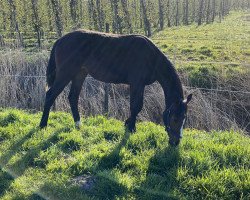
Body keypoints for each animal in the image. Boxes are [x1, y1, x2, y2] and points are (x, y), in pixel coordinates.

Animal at [39, 30, 192, 147]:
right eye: (175, 118)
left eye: (184, 118)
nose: (175, 142)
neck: (151, 57)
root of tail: (60, 40)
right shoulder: (137, 83)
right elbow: (136, 106)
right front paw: (131, 127)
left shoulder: (139, 85)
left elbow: (137, 106)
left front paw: (128, 123)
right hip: (66, 73)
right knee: (50, 95)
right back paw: (42, 125)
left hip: (79, 73)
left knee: (73, 97)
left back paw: (78, 124)